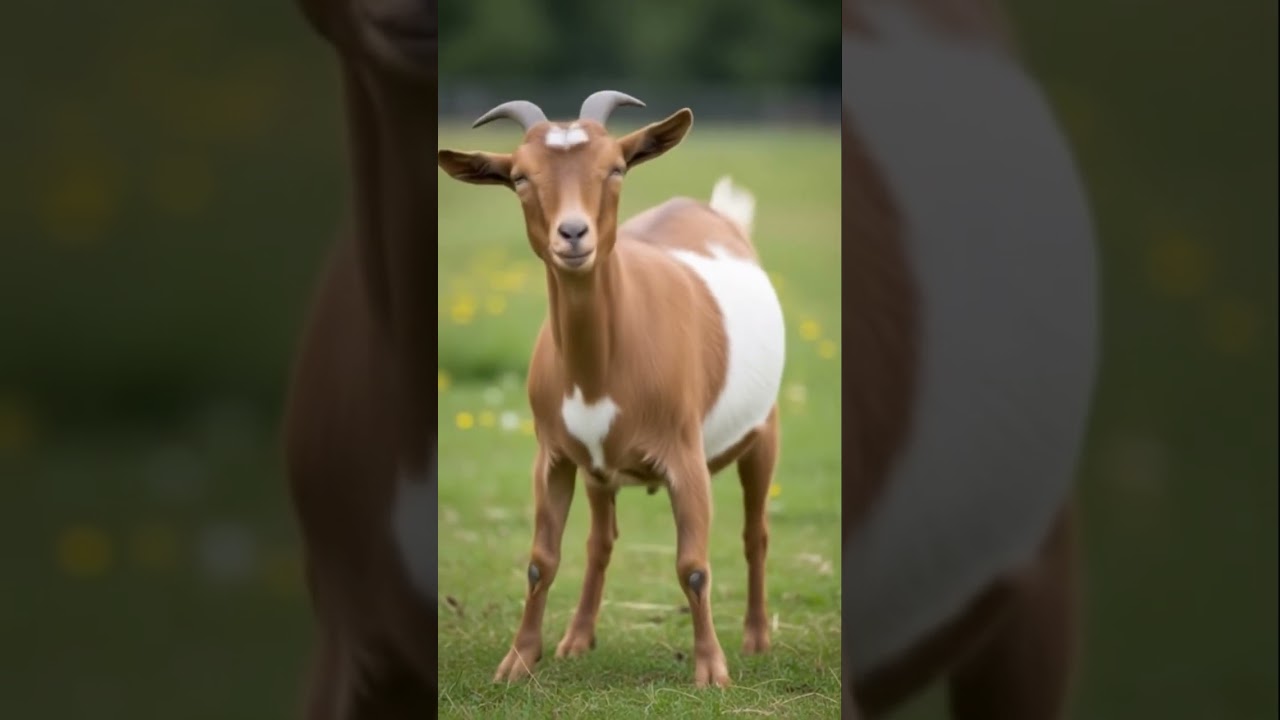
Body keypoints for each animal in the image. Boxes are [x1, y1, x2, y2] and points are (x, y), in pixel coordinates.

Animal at [437, 92, 788, 689]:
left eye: (616, 168)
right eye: (520, 177)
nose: (573, 234)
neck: (600, 368)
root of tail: (716, 212)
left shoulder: (684, 454)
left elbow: (694, 566)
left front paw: (711, 671)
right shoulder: (553, 455)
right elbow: (541, 559)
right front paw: (517, 661)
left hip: (764, 431)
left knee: (755, 532)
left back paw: (758, 638)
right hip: (599, 471)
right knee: (600, 541)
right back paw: (577, 639)